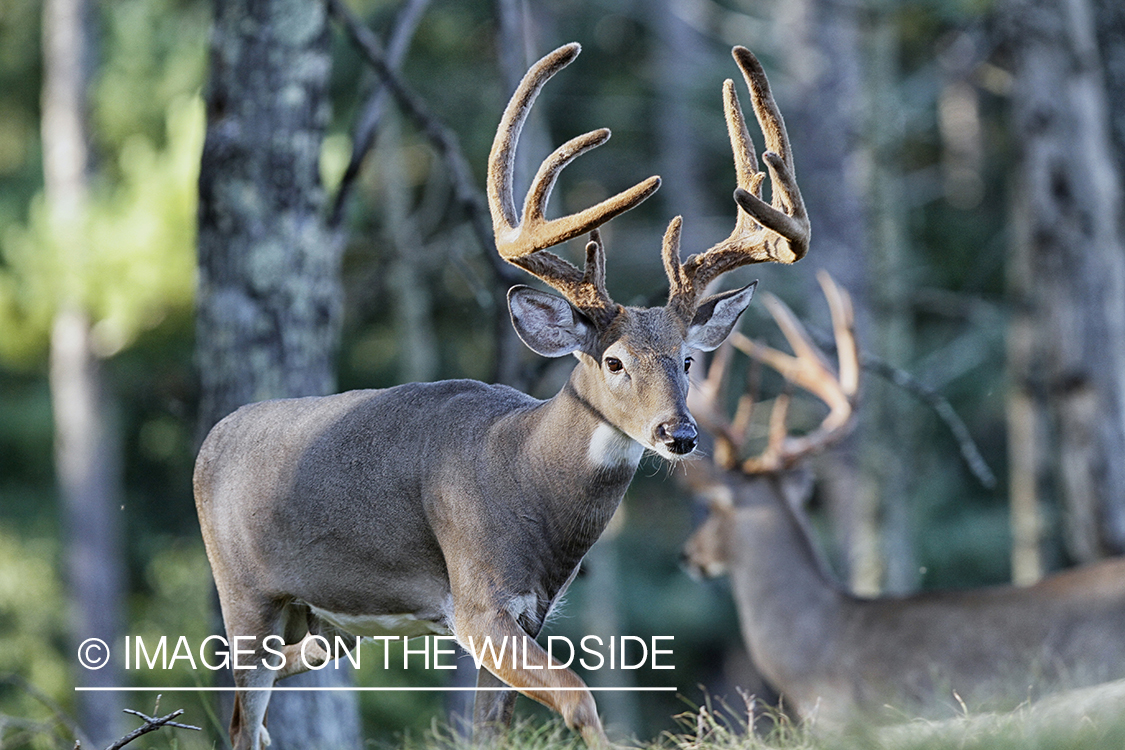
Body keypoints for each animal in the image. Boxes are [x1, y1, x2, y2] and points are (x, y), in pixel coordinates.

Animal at [193, 42, 810, 750]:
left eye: (687, 360)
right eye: (614, 361)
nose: (677, 435)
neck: (524, 476)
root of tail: (210, 441)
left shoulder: (529, 612)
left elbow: (492, 727)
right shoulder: (475, 600)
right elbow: (577, 695)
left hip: (328, 622)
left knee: (273, 692)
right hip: (245, 595)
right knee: (242, 713)